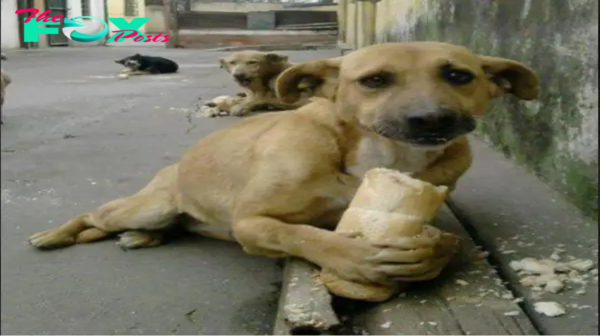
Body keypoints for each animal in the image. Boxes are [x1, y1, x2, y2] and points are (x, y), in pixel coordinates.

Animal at [27, 40, 540, 284]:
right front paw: (354, 258)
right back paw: (53, 235)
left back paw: (144, 238)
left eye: (459, 75)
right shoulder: (251, 221)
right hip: (147, 204)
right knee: (93, 215)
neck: (374, 154)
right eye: (374, 80)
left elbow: (442, 243)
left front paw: (430, 256)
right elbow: (301, 234)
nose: (432, 118)